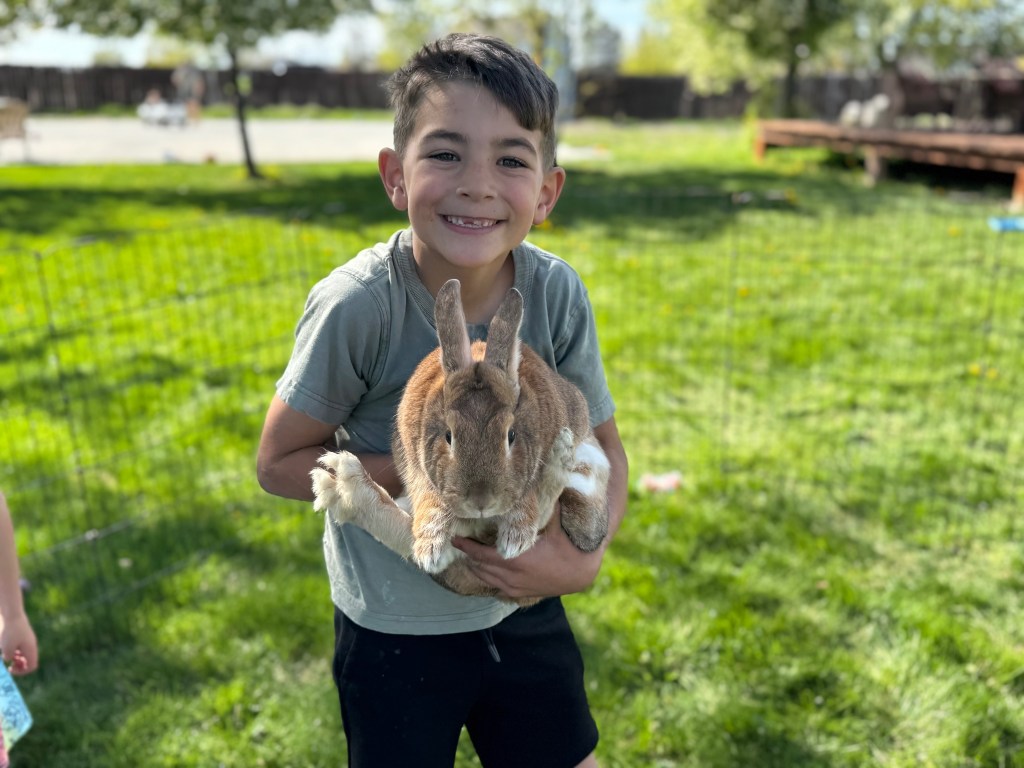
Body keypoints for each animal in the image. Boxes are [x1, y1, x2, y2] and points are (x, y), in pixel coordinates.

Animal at [311, 278, 610, 605]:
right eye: (449, 436)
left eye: (511, 435)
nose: (480, 501)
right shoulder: (415, 464)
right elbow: (428, 502)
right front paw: (429, 547)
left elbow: (529, 498)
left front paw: (516, 535)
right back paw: (339, 484)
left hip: (585, 496)